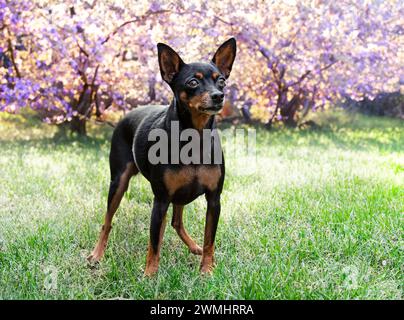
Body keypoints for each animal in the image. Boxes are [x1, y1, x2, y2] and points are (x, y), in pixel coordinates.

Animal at [87, 38, 235, 276]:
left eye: (221, 80)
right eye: (193, 82)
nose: (218, 96)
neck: (194, 137)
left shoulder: (214, 199)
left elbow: (209, 240)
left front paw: (206, 270)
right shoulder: (161, 198)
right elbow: (154, 242)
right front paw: (149, 275)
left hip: (178, 195)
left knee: (175, 222)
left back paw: (193, 246)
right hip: (119, 182)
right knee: (108, 221)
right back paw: (97, 254)